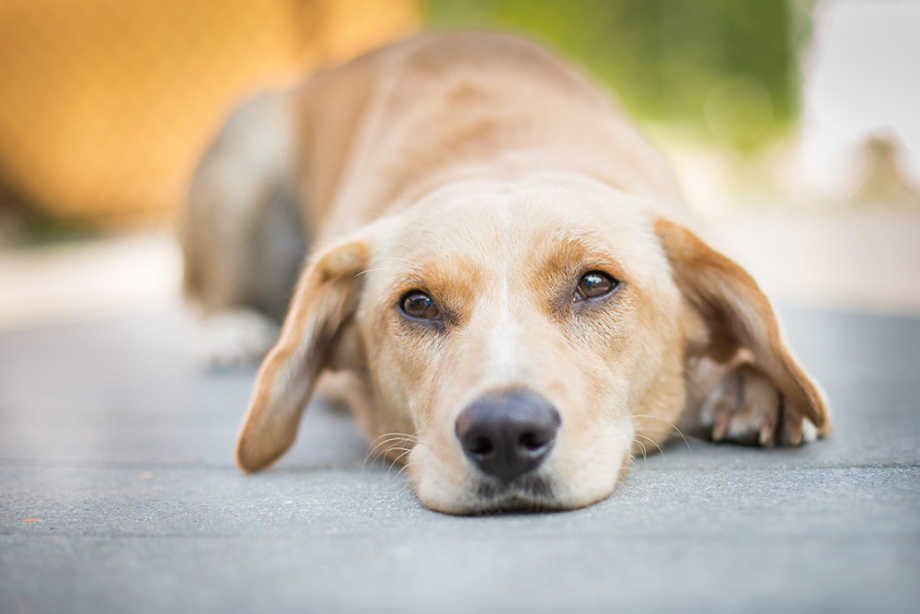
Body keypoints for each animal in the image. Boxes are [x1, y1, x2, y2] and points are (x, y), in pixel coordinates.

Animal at [183, 32, 832, 516]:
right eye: (417, 304)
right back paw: (227, 330)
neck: (504, 154)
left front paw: (747, 384)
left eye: (594, 283)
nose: (503, 435)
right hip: (246, 144)